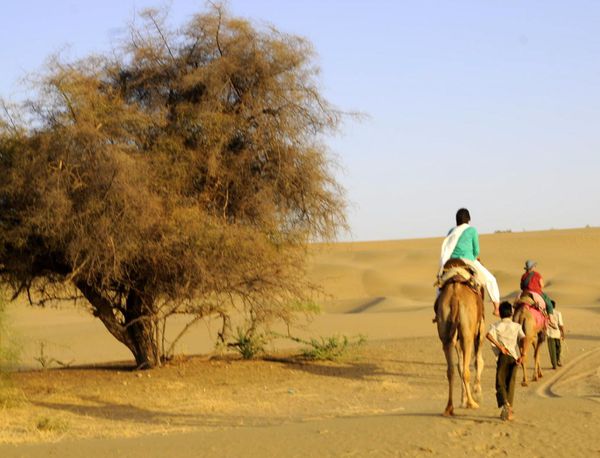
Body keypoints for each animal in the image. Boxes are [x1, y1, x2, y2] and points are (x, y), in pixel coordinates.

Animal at [436, 262, 488, 416]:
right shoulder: (480, 331)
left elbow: (460, 365)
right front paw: (477, 393)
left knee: (451, 370)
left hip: (445, 330)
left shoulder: (456, 339)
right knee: (467, 370)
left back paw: (449, 407)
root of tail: (455, 297)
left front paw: (463, 399)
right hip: (467, 334)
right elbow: (478, 361)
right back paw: (472, 403)